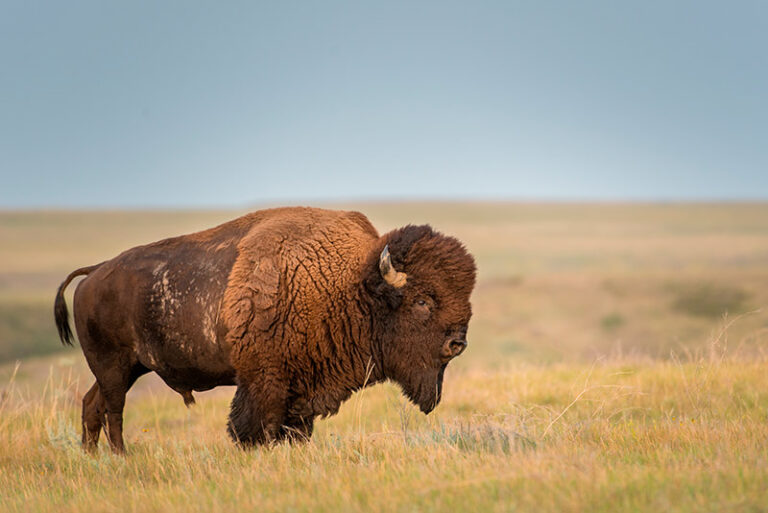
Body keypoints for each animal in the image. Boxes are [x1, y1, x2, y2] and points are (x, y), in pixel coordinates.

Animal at [54, 206, 474, 450]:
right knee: (113, 411)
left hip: (127, 368)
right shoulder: (264, 380)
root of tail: (95, 273)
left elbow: (296, 429)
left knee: (92, 405)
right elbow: (256, 427)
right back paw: (120, 456)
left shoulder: (303, 387)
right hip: (114, 367)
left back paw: (95, 459)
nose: (457, 343)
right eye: (422, 301)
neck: (347, 283)